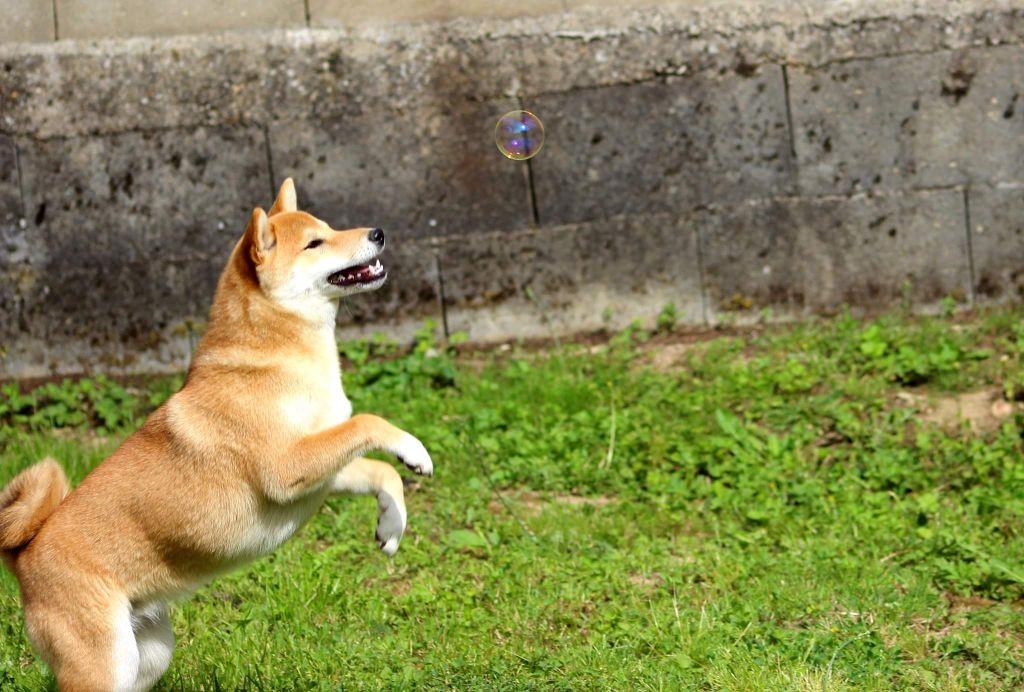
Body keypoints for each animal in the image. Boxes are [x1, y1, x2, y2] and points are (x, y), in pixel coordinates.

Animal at [0, 180, 428, 692]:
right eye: (315, 243)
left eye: (327, 228)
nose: (378, 233)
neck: (275, 355)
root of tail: (24, 552)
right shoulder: (286, 469)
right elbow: (369, 422)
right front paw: (414, 447)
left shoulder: (318, 469)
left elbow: (380, 471)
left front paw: (392, 523)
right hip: (104, 663)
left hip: (149, 654)